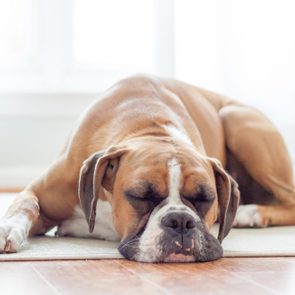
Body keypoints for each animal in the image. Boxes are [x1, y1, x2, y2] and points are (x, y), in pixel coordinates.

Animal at [0, 74, 295, 264]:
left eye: (206, 198)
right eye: (140, 195)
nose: (180, 221)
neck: (151, 126)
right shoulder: (42, 193)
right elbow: (25, 203)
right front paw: (8, 229)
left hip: (237, 121)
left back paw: (251, 213)